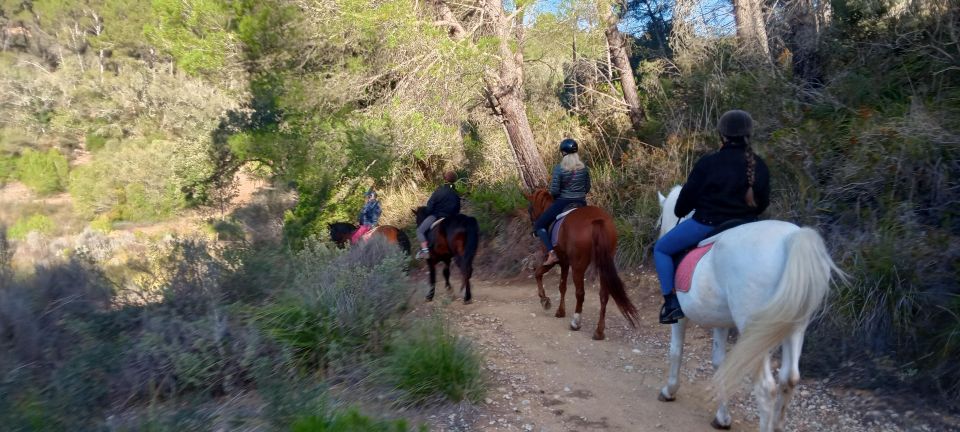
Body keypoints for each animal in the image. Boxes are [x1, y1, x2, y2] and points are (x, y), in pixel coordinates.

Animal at [524, 189, 636, 340]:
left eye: (530, 209)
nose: (534, 231)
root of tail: (597, 220)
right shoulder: (565, 263)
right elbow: (562, 287)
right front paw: (560, 311)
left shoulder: (556, 261)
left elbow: (539, 274)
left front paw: (545, 301)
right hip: (604, 265)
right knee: (603, 295)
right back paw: (599, 331)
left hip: (578, 266)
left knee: (580, 293)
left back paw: (575, 322)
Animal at [656, 186, 844, 432]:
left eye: (661, 221)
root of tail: (790, 239)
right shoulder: (721, 322)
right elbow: (720, 363)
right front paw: (722, 418)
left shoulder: (680, 318)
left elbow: (676, 351)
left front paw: (669, 391)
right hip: (794, 326)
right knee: (789, 378)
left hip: (756, 331)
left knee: (766, 388)